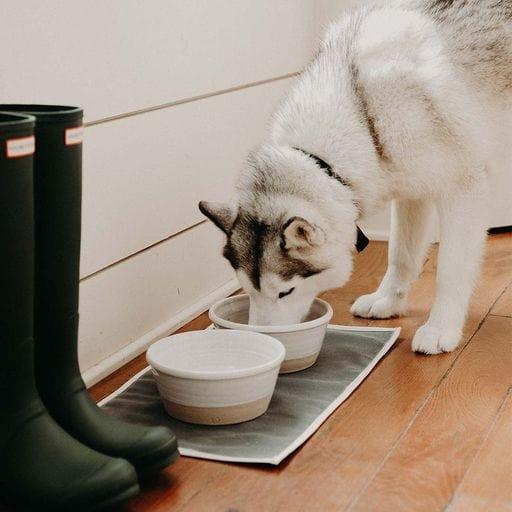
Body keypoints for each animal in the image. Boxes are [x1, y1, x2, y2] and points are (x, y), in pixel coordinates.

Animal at [200, 0, 512, 354]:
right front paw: (388, 301)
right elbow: (400, 256)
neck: (361, 113)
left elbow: (450, 268)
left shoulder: (463, 187)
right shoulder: (412, 189)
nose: (267, 344)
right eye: (247, 290)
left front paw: (440, 328)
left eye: (285, 292)